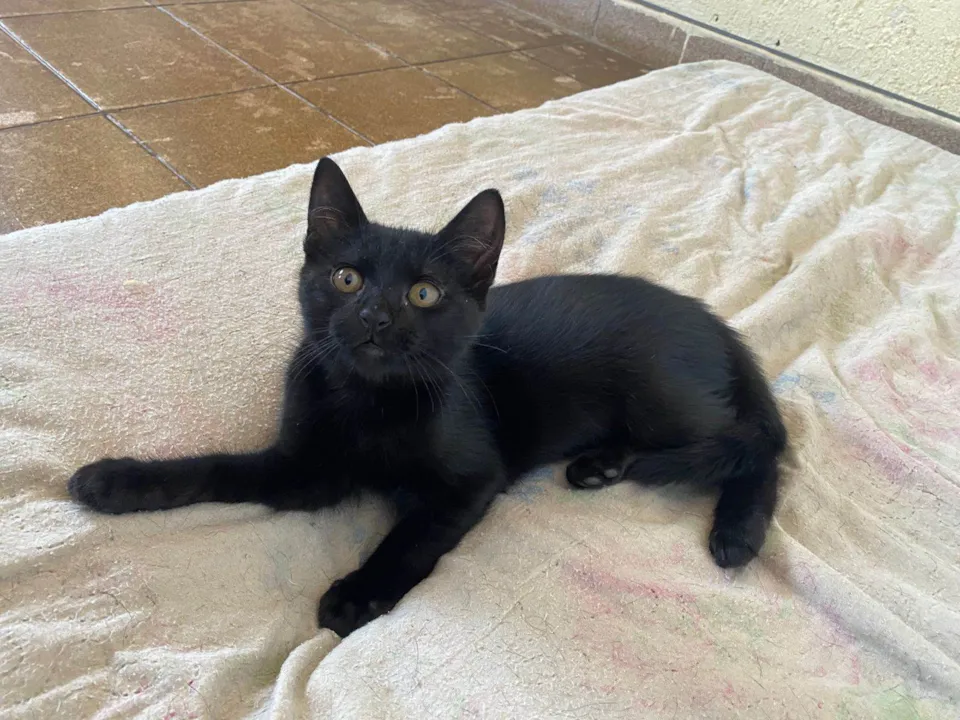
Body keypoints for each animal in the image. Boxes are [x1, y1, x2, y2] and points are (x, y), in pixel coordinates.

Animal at [69, 157, 787, 637]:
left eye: (423, 293)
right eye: (347, 278)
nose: (376, 317)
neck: (368, 403)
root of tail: (713, 322)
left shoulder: (472, 479)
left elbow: (410, 537)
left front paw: (357, 593)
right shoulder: (305, 471)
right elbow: (215, 467)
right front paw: (116, 482)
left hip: (660, 397)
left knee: (758, 447)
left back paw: (736, 532)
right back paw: (602, 465)